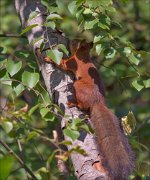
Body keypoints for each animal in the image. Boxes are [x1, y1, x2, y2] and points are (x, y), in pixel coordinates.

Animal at [45, 40, 134, 179]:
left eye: (75, 42)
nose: (69, 41)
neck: (84, 54)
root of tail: (98, 101)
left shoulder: (72, 61)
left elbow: (62, 63)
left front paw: (48, 58)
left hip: (77, 85)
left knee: (81, 103)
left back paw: (74, 103)